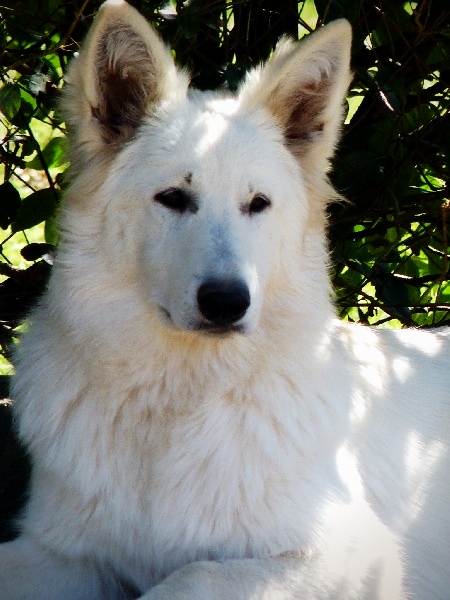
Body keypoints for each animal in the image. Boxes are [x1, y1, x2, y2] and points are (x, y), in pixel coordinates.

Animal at [0, 1, 450, 600]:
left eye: (258, 204)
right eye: (172, 198)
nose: (226, 302)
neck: (177, 400)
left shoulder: (346, 558)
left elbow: (188, 576)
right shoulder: (62, 555)